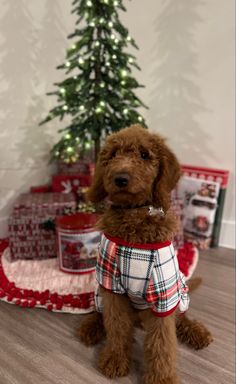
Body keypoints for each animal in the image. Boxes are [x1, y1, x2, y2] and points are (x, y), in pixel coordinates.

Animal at [77, 126, 212, 384]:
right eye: (113, 154)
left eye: (144, 155)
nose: (120, 179)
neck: (134, 219)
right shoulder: (112, 286)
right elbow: (116, 326)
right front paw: (115, 359)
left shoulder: (162, 294)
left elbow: (162, 342)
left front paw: (161, 378)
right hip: (100, 292)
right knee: (100, 314)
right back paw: (89, 327)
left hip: (179, 293)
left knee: (181, 318)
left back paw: (197, 333)